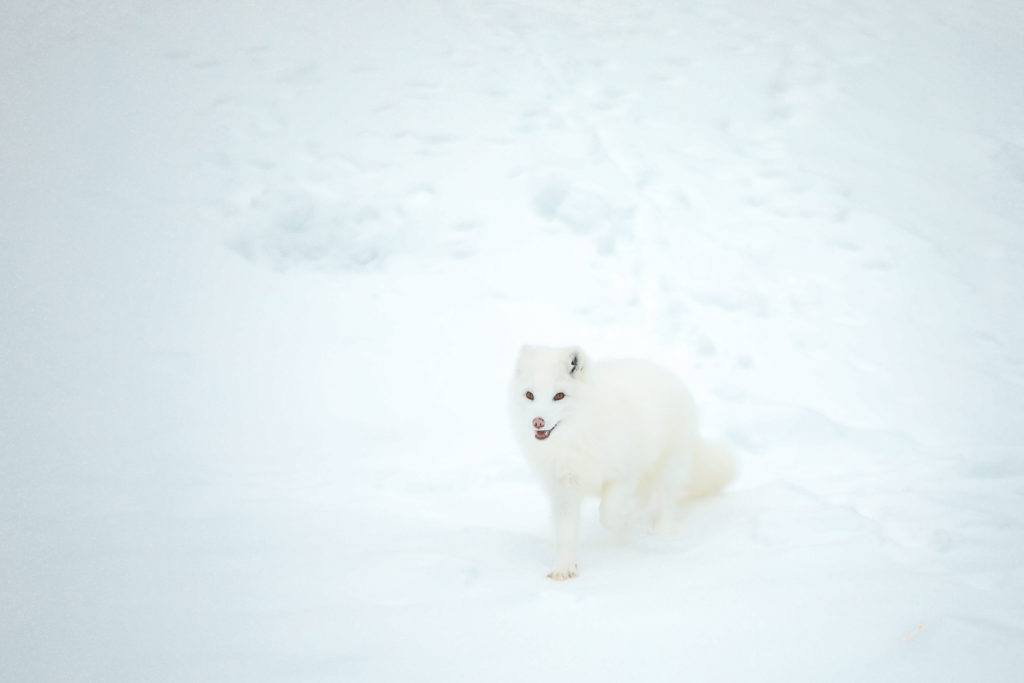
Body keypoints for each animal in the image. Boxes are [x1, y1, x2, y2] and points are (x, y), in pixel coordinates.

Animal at [509, 345, 736, 579]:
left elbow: (607, 515)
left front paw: (625, 523)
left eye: (559, 396)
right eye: (529, 395)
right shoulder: (564, 489)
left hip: (668, 466)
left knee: (666, 503)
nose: (538, 422)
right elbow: (565, 534)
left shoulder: (624, 475)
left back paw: (660, 533)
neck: (577, 436)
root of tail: (670, 375)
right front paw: (564, 568)